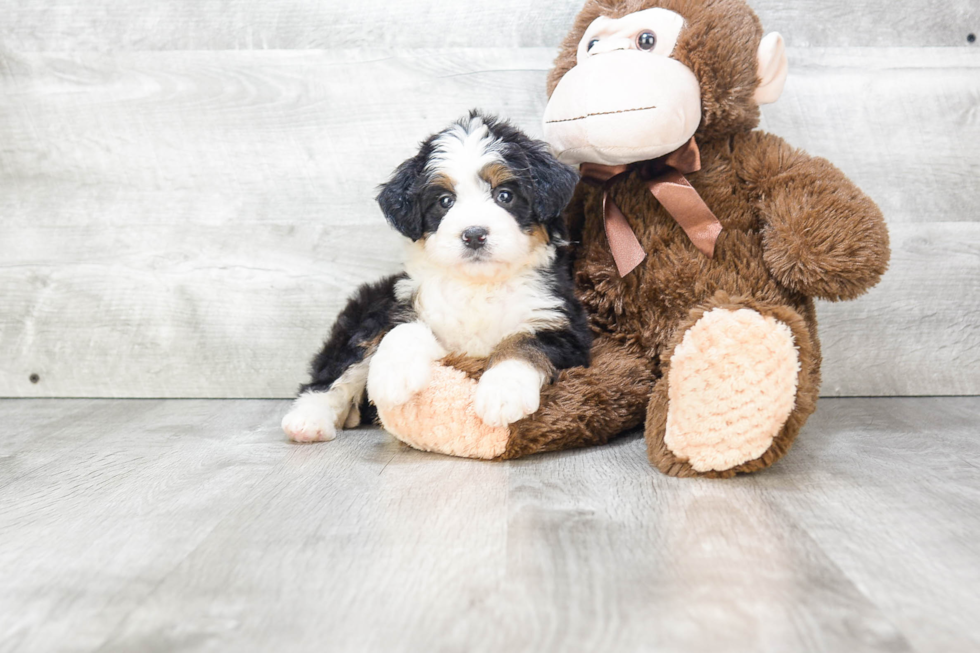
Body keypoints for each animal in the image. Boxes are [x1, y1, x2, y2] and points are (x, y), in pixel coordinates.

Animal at [280, 111, 592, 444]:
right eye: (445, 201)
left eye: (504, 195)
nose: (474, 234)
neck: (478, 285)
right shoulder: (404, 306)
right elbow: (403, 330)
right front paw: (392, 374)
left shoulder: (564, 327)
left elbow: (523, 342)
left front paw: (502, 392)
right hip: (366, 315)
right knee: (333, 375)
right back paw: (308, 420)